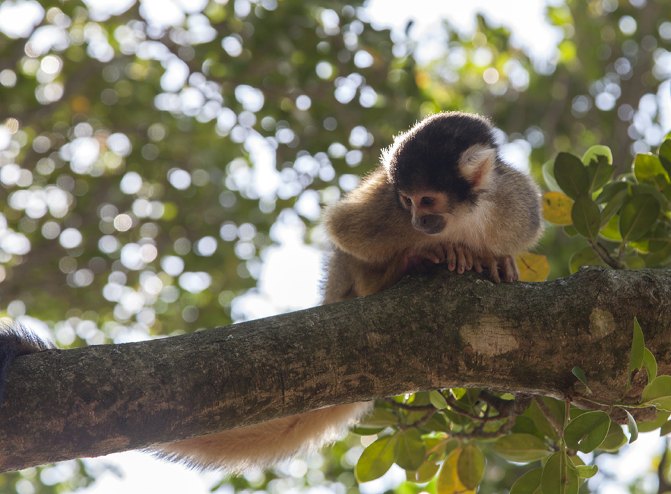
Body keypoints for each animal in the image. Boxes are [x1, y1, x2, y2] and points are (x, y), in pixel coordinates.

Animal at [0, 111, 540, 470]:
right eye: (409, 201)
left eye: (428, 200)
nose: (418, 223)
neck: (463, 215)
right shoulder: (385, 207)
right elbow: (344, 229)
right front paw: (416, 258)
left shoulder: (517, 203)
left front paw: (496, 260)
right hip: (343, 280)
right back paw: (395, 274)